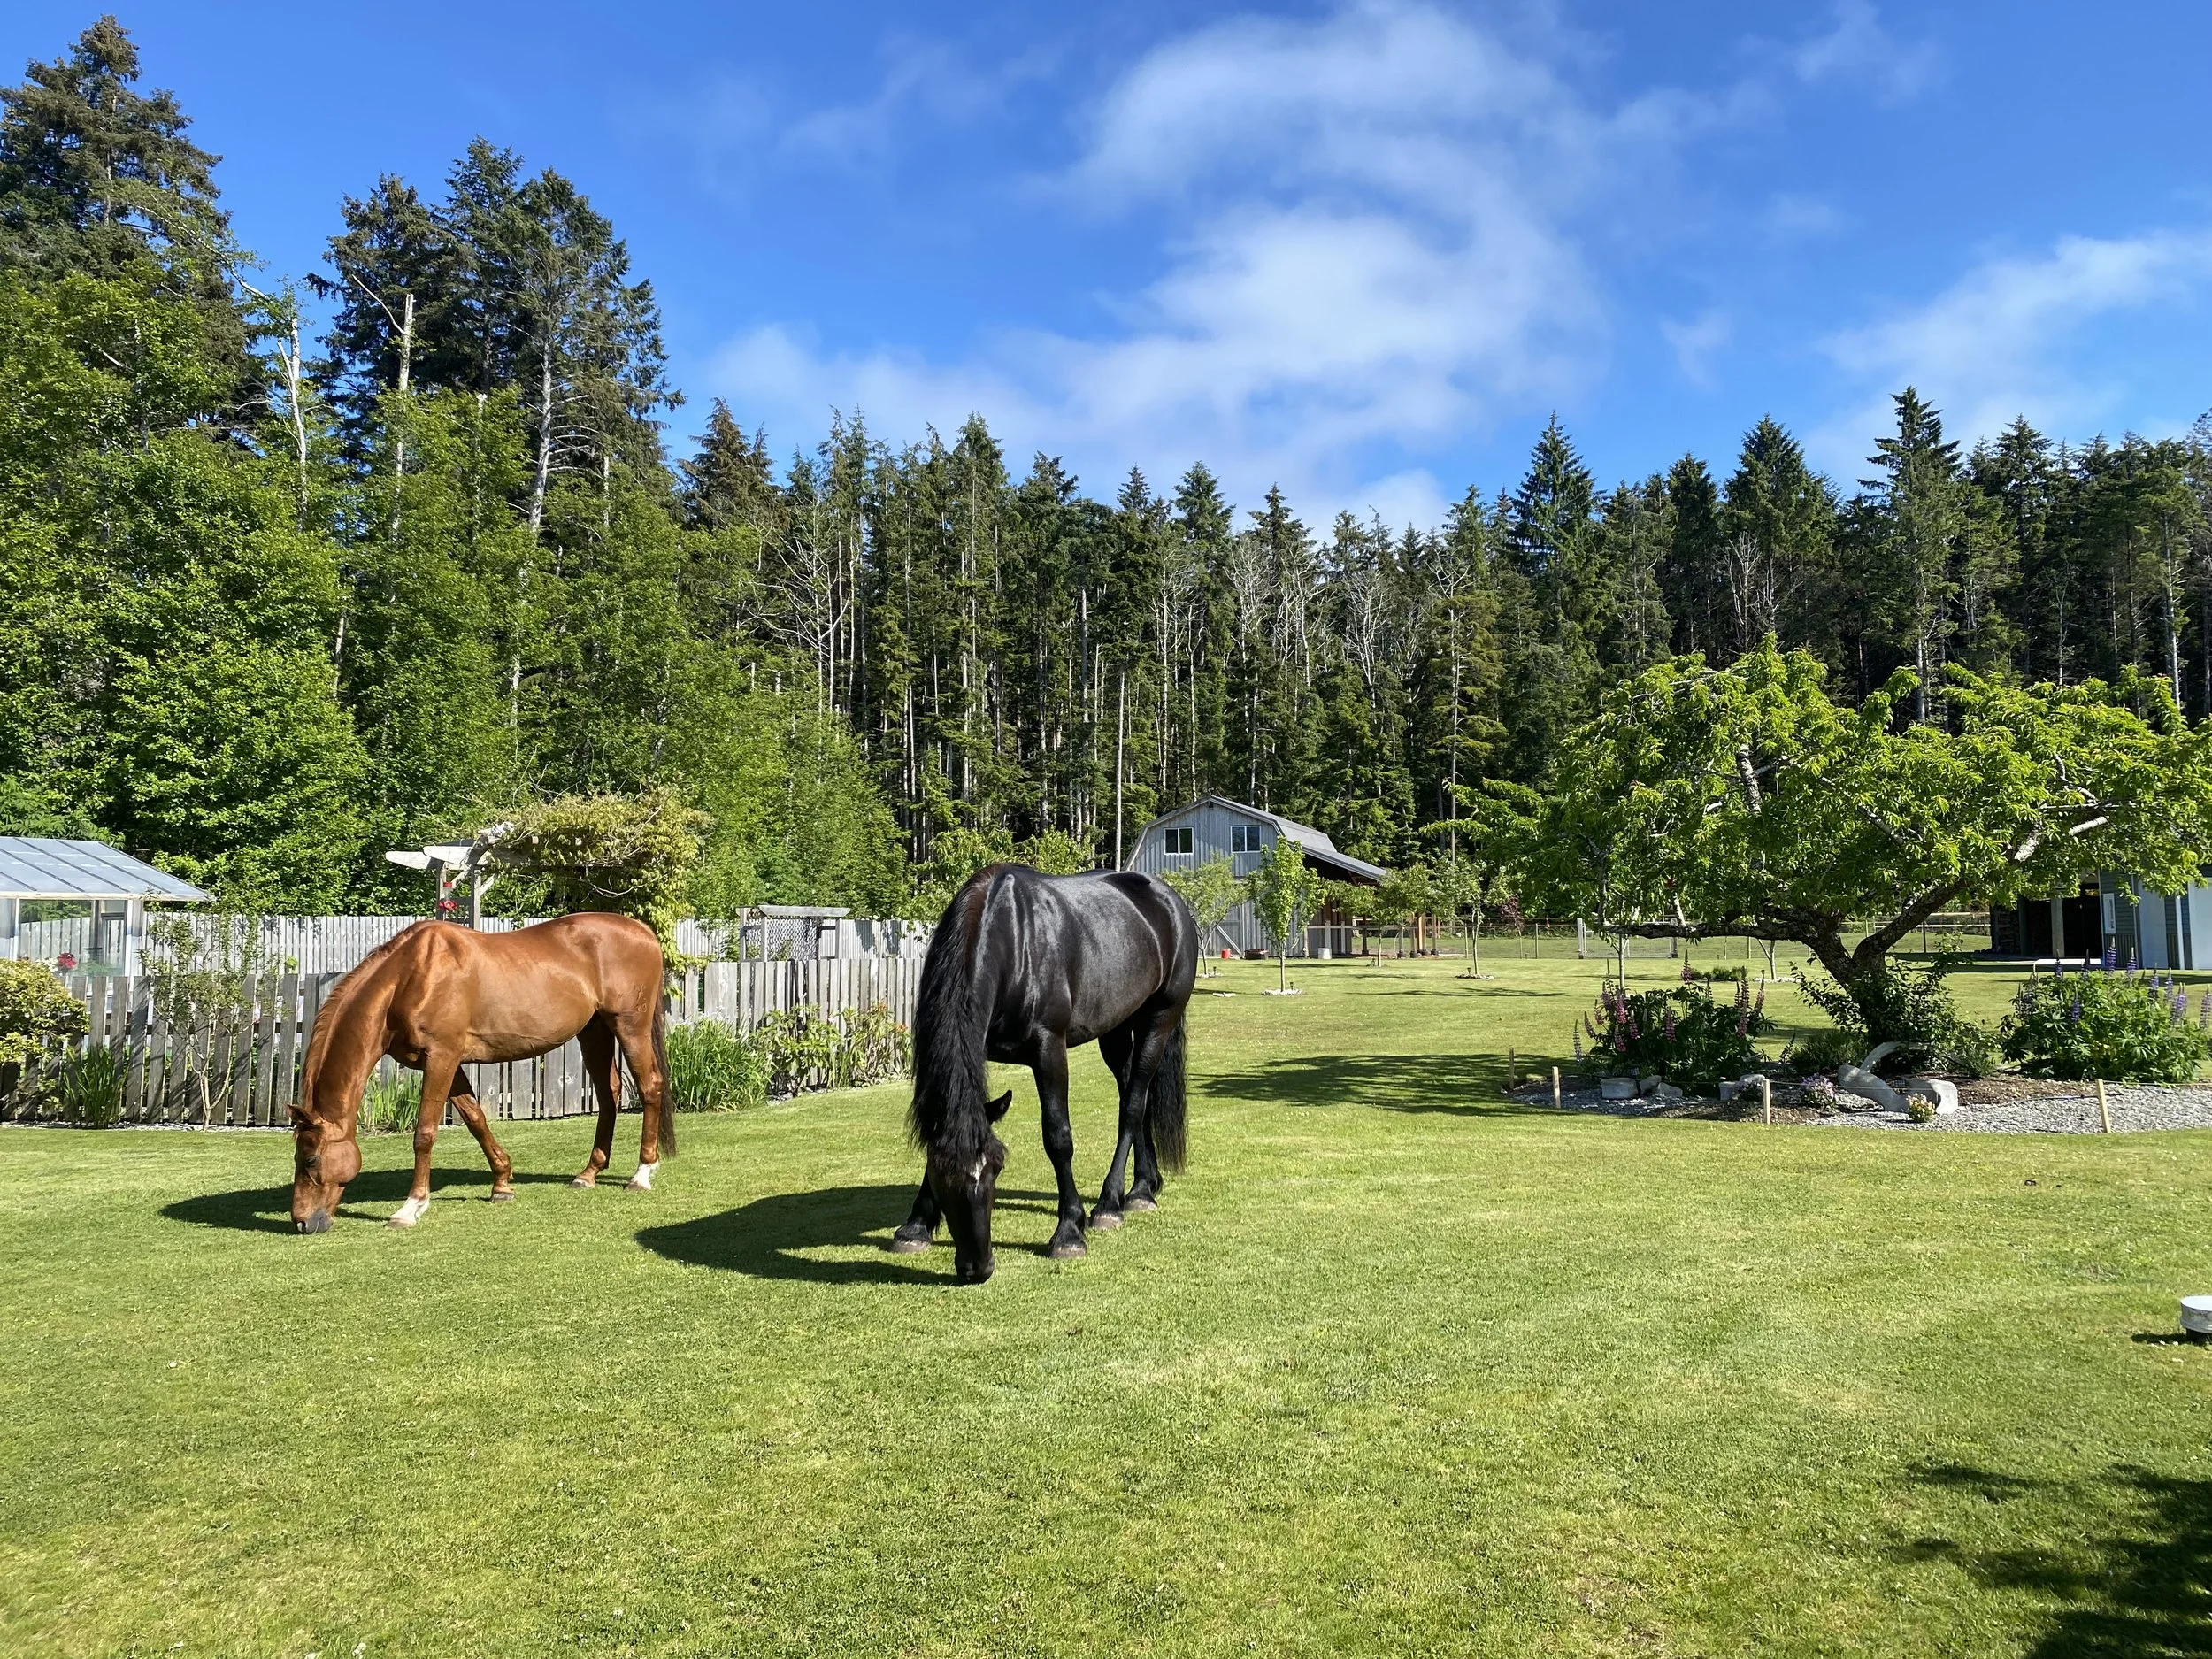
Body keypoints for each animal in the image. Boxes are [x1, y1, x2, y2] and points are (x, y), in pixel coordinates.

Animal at [289, 913, 672, 1234]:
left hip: (630, 1027)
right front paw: (502, 1183)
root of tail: (643, 931)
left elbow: (424, 1133)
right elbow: (475, 1119)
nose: (302, 1222)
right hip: (594, 1030)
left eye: (310, 1158)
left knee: (650, 1087)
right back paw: (589, 1173)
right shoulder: (447, 1063)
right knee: (609, 1094)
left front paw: (411, 1207)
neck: (408, 978)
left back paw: (642, 1173)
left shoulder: (441, 1058)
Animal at [892, 864, 1197, 1283]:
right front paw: (916, 1226)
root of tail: (1172, 902)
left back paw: (1111, 1203)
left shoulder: (1049, 1050)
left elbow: (1058, 1137)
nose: (977, 1267)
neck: (1009, 940)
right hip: (1117, 1029)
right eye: (942, 1175)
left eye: (996, 1169)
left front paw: (1069, 1232)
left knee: (1134, 1105)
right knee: (1134, 1095)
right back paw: (1142, 1187)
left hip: (1159, 1020)